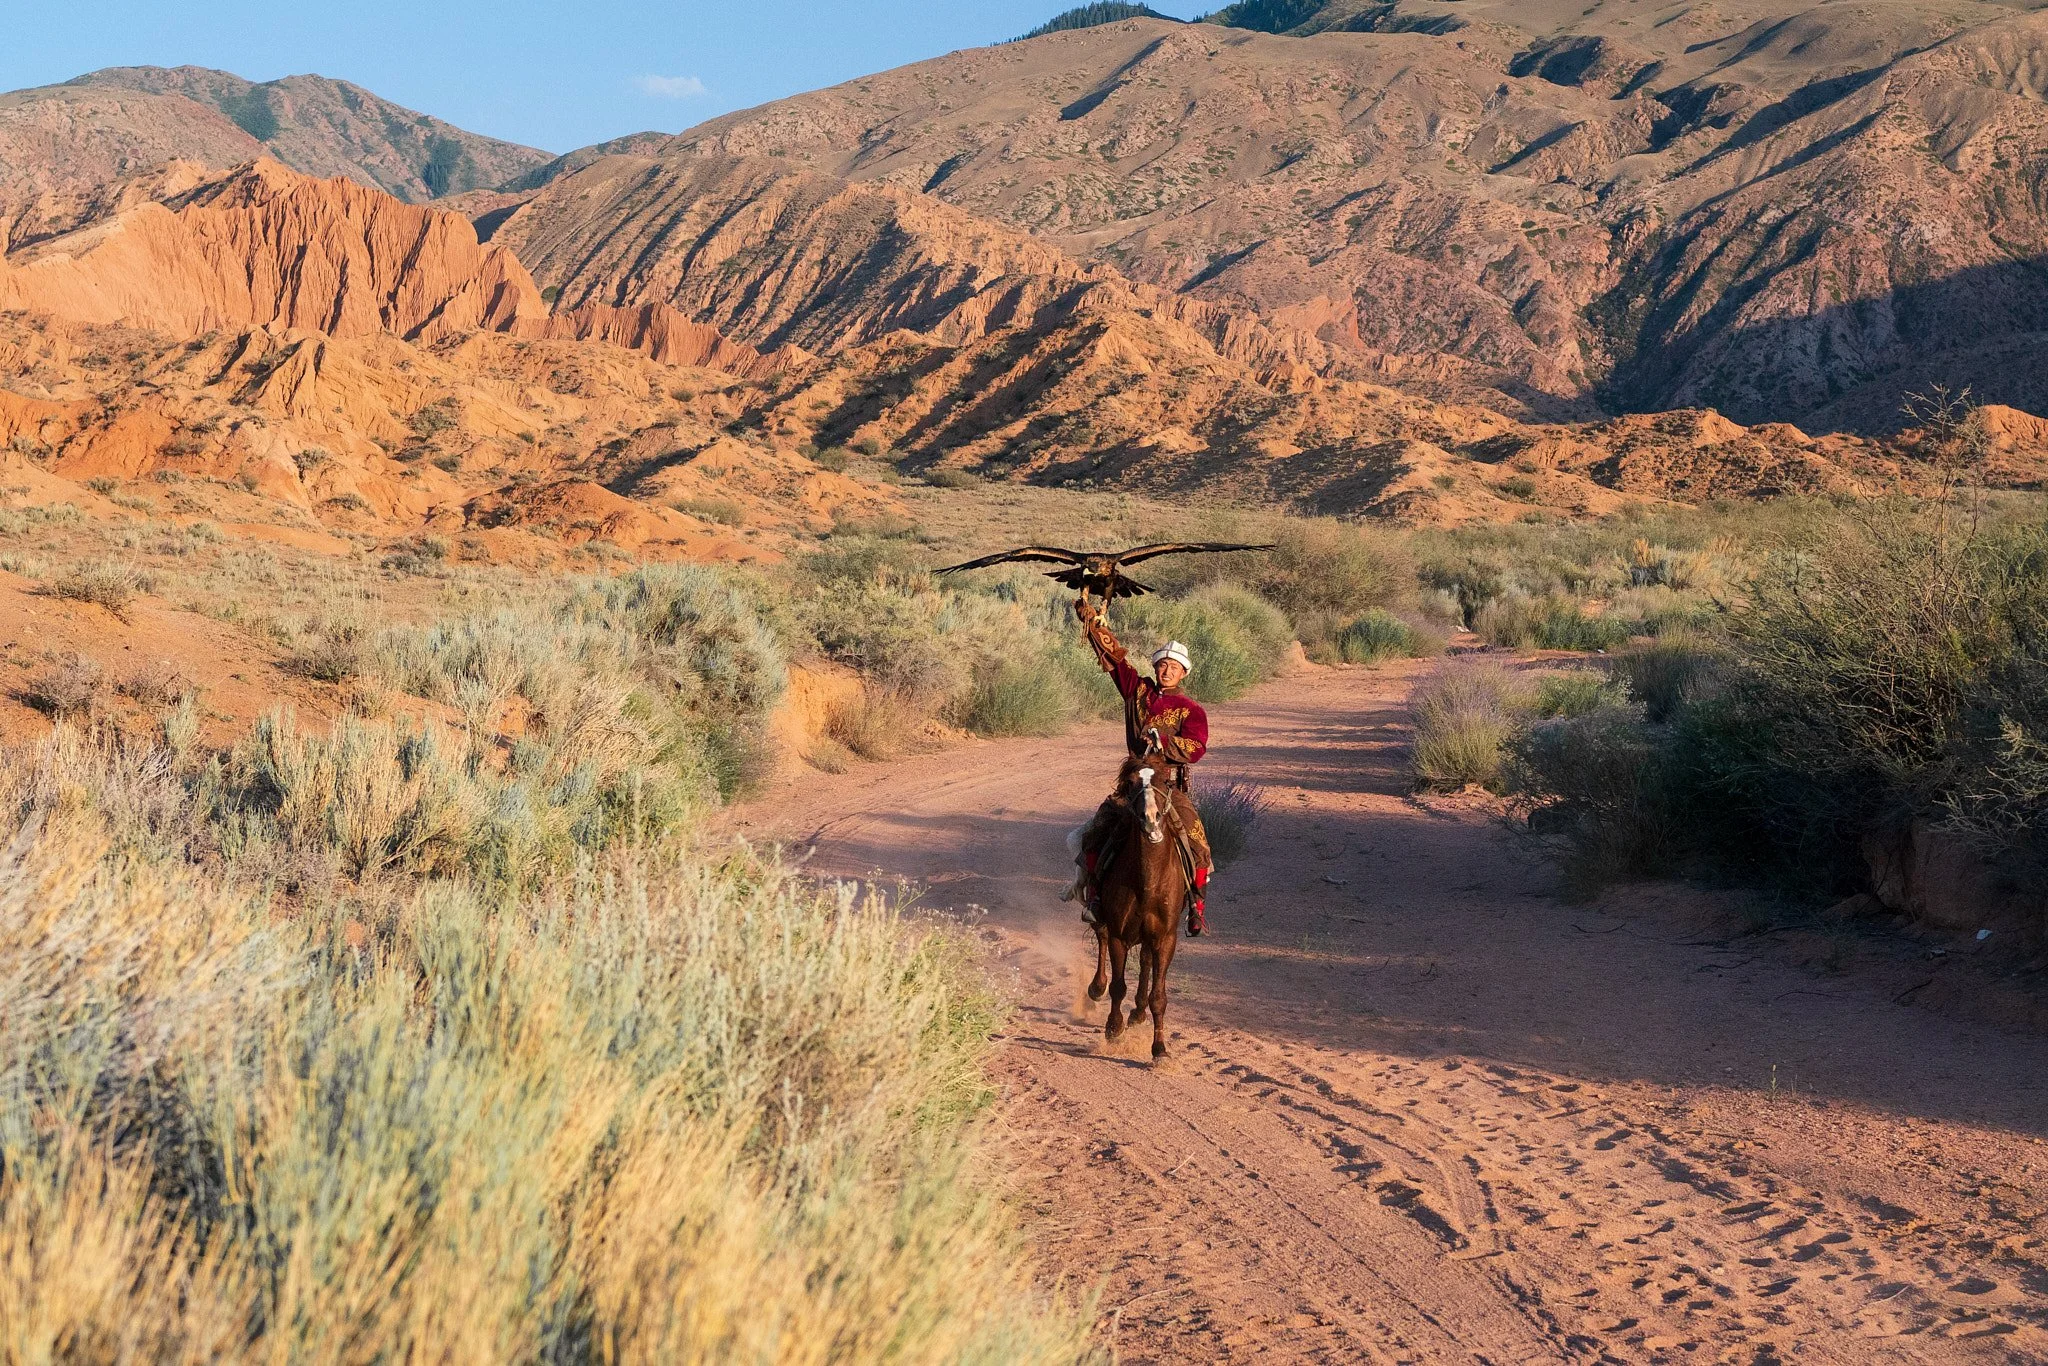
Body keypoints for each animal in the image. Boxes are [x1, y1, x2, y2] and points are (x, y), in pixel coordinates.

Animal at [1086, 752, 1190, 1060]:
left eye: (1166, 781)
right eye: (1131, 783)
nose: (1151, 819)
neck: (1147, 882)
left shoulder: (1166, 938)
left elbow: (1159, 996)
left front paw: (1160, 1049)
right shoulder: (1120, 934)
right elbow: (1118, 986)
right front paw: (1113, 1028)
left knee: (1144, 960)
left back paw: (1139, 1012)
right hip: (1104, 918)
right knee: (1102, 937)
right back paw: (1097, 988)